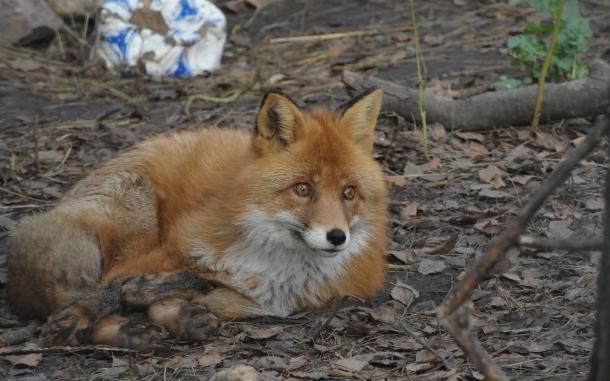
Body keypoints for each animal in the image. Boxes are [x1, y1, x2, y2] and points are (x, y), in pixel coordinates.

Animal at [7, 88, 388, 348]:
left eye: (349, 193)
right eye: (303, 188)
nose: (337, 236)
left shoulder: (281, 301)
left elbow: (200, 287)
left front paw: (165, 302)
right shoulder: (173, 246)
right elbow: (111, 289)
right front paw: (90, 312)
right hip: (136, 217)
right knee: (73, 291)